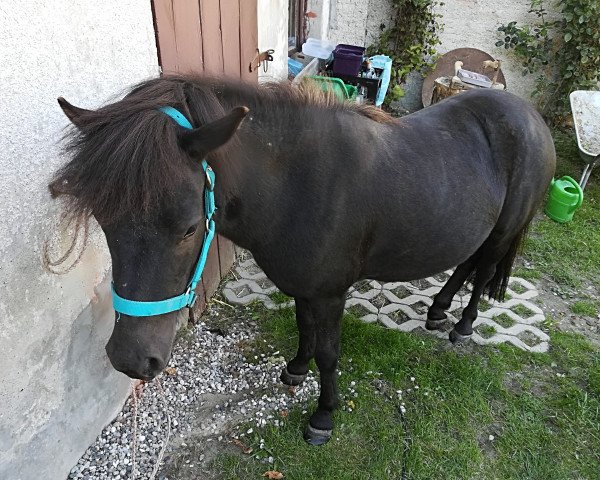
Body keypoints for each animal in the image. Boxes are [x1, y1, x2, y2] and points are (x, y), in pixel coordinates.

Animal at [49, 76, 556, 446]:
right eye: (104, 221)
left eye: (190, 227)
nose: (131, 359)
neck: (297, 185)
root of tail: (531, 115)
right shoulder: (303, 285)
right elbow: (303, 326)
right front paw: (295, 368)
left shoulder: (330, 293)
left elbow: (330, 353)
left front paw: (323, 416)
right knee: (468, 264)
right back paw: (437, 310)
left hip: (504, 230)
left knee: (483, 271)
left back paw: (462, 324)